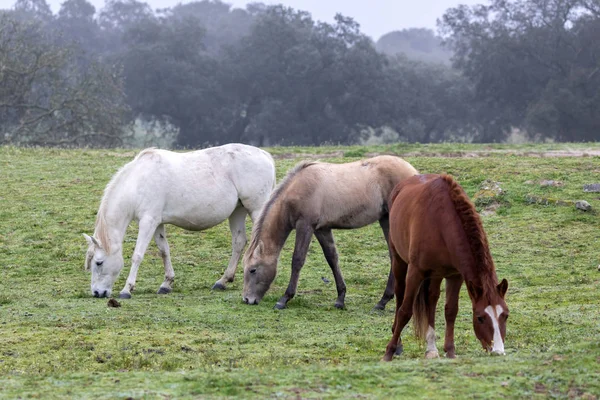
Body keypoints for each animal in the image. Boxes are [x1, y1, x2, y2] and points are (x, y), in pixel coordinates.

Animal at [83, 143, 276, 296]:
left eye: (99, 262)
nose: (97, 293)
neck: (138, 181)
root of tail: (265, 156)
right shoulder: (157, 223)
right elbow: (164, 250)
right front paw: (166, 284)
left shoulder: (148, 221)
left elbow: (137, 255)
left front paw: (126, 289)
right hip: (237, 211)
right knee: (239, 242)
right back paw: (222, 281)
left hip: (256, 209)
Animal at [239, 155, 418, 310]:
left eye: (253, 270)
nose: (247, 299)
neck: (297, 188)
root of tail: (414, 173)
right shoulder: (321, 229)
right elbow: (332, 258)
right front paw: (340, 299)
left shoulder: (305, 225)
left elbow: (297, 260)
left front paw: (284, 298)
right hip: (385, 220)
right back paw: (383, 302)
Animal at [382, 175, 508, 362]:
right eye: (480, 318)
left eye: (505, 315)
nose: (498, 351)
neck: (441, 223)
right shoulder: (415, 272)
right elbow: (405, 311)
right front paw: (389, 352)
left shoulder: (456, 276)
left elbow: (451, 311)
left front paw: (450, 350)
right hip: (399, 262)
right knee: (400, 297)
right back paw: (398, 342)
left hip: (436, 274)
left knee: (431, 300)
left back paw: (431, 348)